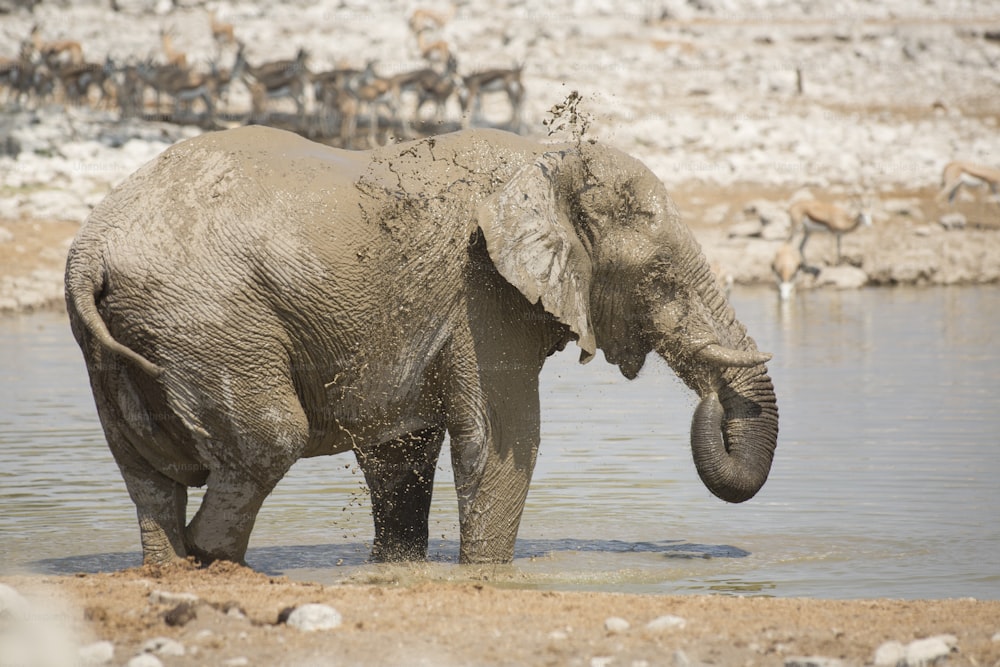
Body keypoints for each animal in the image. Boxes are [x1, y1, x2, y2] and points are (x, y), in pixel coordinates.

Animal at [66, 124, 776, 564]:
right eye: (657, 278)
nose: (711, 403)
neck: (545, 157)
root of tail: (89, 252)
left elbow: (399, 453)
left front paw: (398, 566)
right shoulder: (482, 293)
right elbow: (504, 441)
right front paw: (487, 574)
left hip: (131, 342)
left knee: (148, 476)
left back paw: (171, 565)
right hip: (209, 321)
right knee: (269, 439)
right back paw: (211, 560)